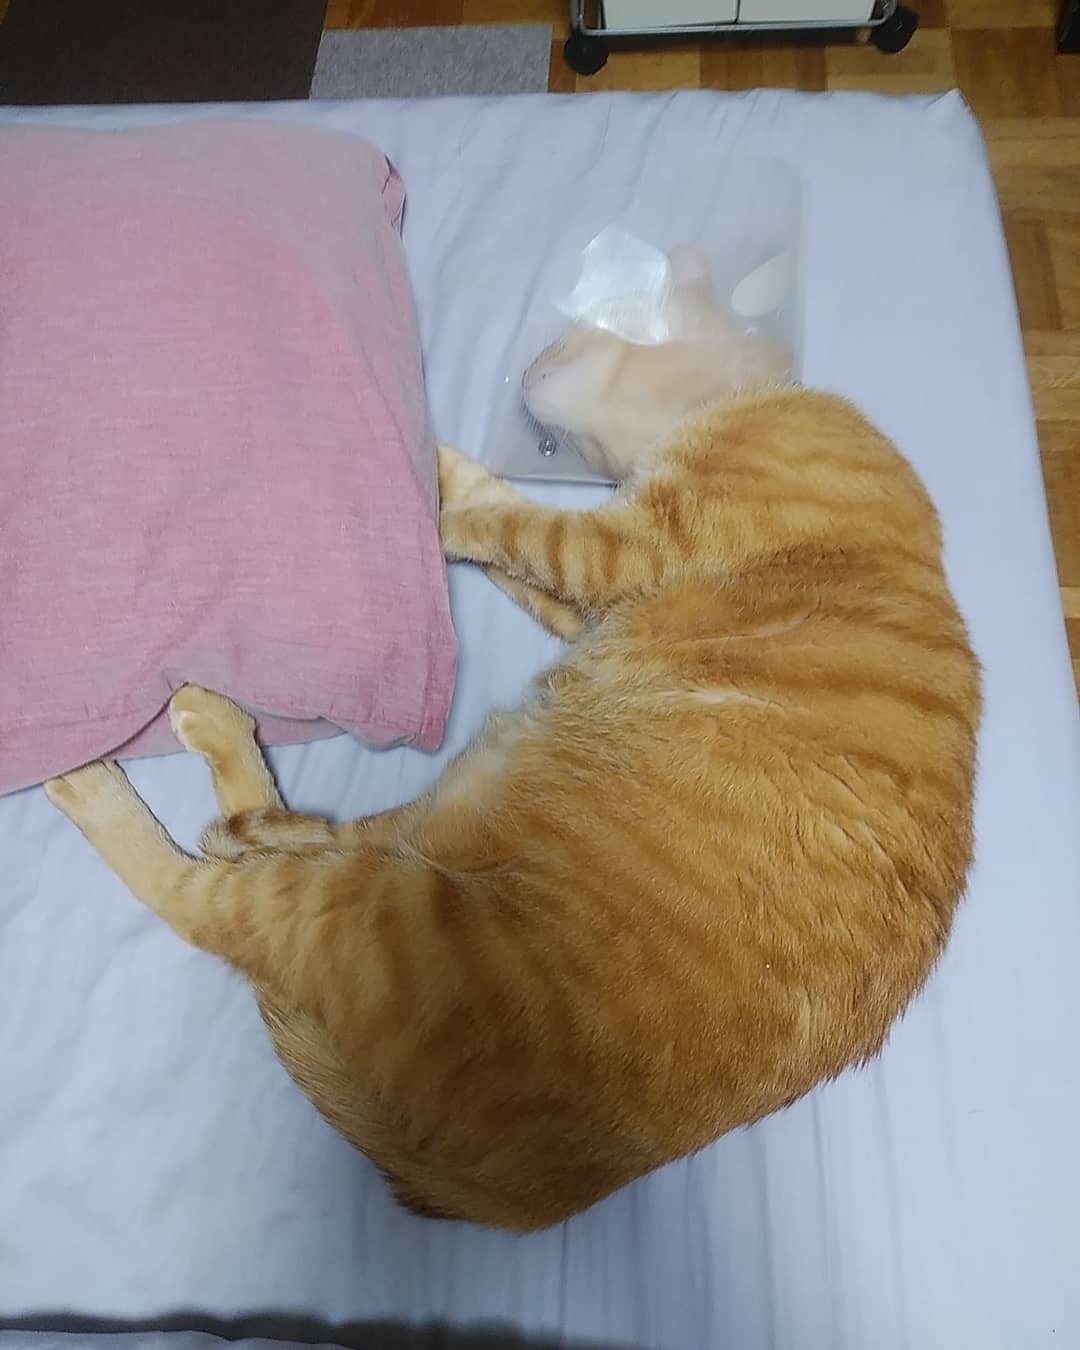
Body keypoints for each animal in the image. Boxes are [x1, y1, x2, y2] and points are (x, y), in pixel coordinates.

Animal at [46, 250, 980, 1232]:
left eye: (568, 339)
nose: (530, 364)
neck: (760, 394)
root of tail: (510, 1200)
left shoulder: (620, 550)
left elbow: (510, 523)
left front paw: (426, 505)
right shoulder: (587, 602)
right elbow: (504, 517)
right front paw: (435, 461)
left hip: (368, 908)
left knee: (201, 900)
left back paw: (108, 772)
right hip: (395, 844)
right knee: (270, 836)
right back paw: (226, 759)